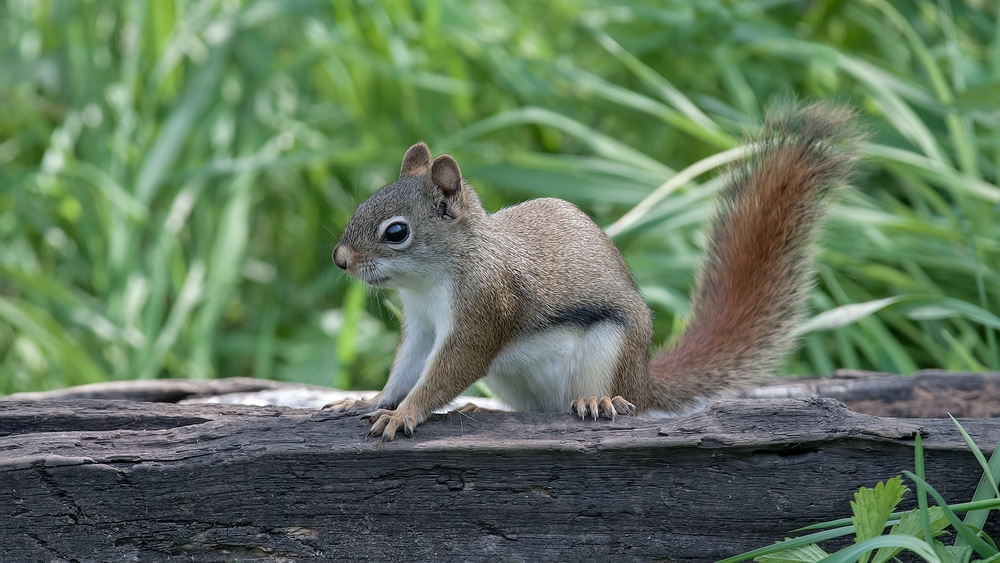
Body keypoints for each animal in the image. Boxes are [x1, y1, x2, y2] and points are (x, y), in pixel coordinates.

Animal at [320, 106, 860, 440]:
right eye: (365, 203)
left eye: (396, 232)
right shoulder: (420, 325)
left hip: (610, 350)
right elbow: (406, 369)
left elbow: (449, 370)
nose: (340, 259)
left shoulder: (484, 308)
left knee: (613, 398)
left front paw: (404, 415)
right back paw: (479, 408)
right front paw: (368, 401)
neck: (433, 281)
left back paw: (600, 402)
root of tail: (644, 379)